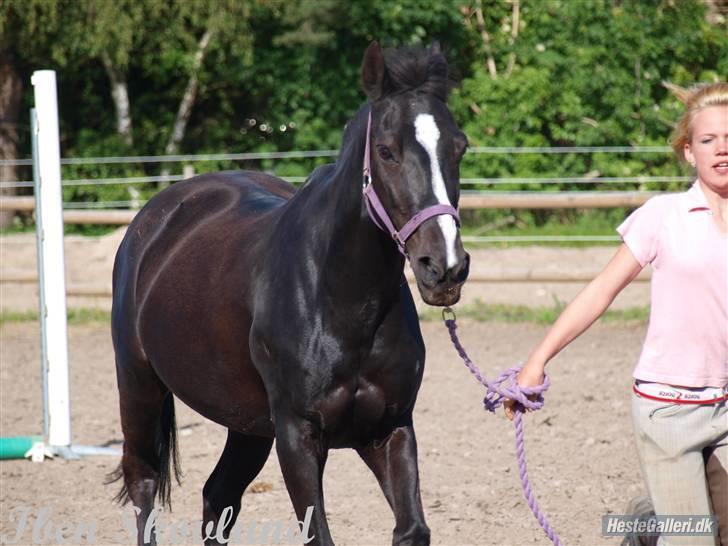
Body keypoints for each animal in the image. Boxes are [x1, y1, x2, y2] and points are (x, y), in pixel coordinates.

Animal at [111, 43, 470, 544]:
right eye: (386, 151)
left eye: (459, 147)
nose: (445, 268)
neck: (341, 300)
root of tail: (155, 218)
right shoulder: (298, 435)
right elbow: (319, 533)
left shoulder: (390, 428)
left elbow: (412, 529)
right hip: (139, 386)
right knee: (143, 484)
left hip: (246, 423)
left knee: (217, 496)